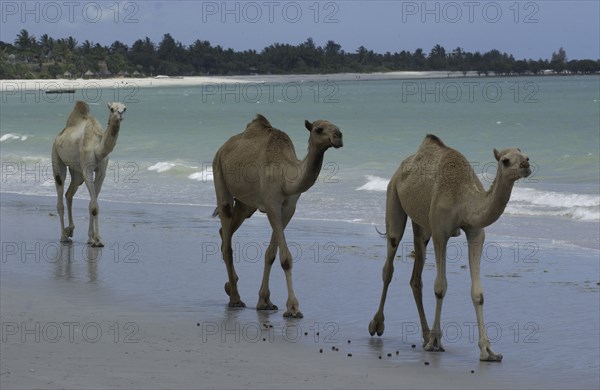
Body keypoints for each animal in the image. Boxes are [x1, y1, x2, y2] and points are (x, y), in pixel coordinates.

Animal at [51, 100, 126, 247]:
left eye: (124, 108)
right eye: (112, 108)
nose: (119, 114)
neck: (98, 148)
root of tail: (58, 137)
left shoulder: (101, 172)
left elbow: (93, 203)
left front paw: (92, 239)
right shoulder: (88, 170)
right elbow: (94, 205)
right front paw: (98, 240)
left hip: (76, 172)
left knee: (69, 194)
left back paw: (70, 230)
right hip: (56, 157)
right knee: (60, 192)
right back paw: (63, 236)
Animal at [212, 114, 342, 318]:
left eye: (336, 126)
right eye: (319, 129)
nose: (338, 136)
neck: (286, 178)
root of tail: (223, 147)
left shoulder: (288, 208)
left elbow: (271, 254)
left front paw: (265, 301)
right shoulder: (272, 203)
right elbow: (285, 258)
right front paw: (293, 308)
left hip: (246, 205)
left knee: (225, 232)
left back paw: (230, 287)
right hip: (219, 173)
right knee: (227, 235)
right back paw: (235, 298)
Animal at [370, 136, 528, 362]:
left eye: (526, 156)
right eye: (505, 161)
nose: (526, 166)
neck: (463, 199)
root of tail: (400, 168)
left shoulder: (476, 232)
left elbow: (478, 293)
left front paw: (488, 351)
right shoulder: (440, 232)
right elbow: (440, 287)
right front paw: (436, 341)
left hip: (422, 227)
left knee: (416, 277)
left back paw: (425, 335)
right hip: (393, 198)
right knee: (389, 263)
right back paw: (377, 324)